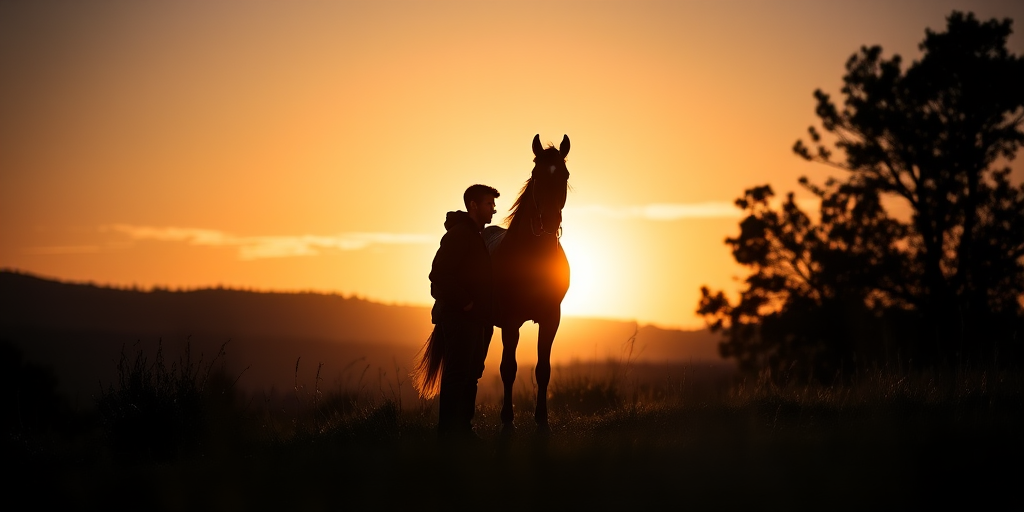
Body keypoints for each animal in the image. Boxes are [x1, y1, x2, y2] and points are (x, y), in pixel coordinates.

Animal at [483, 134, 571, 431]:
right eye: (535, 174)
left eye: (565, 174)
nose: (550, 220)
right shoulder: (511, 321)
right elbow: (508, 369)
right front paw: (507, 420)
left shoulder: (551, 318)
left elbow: (543, 369)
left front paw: (542, 419)